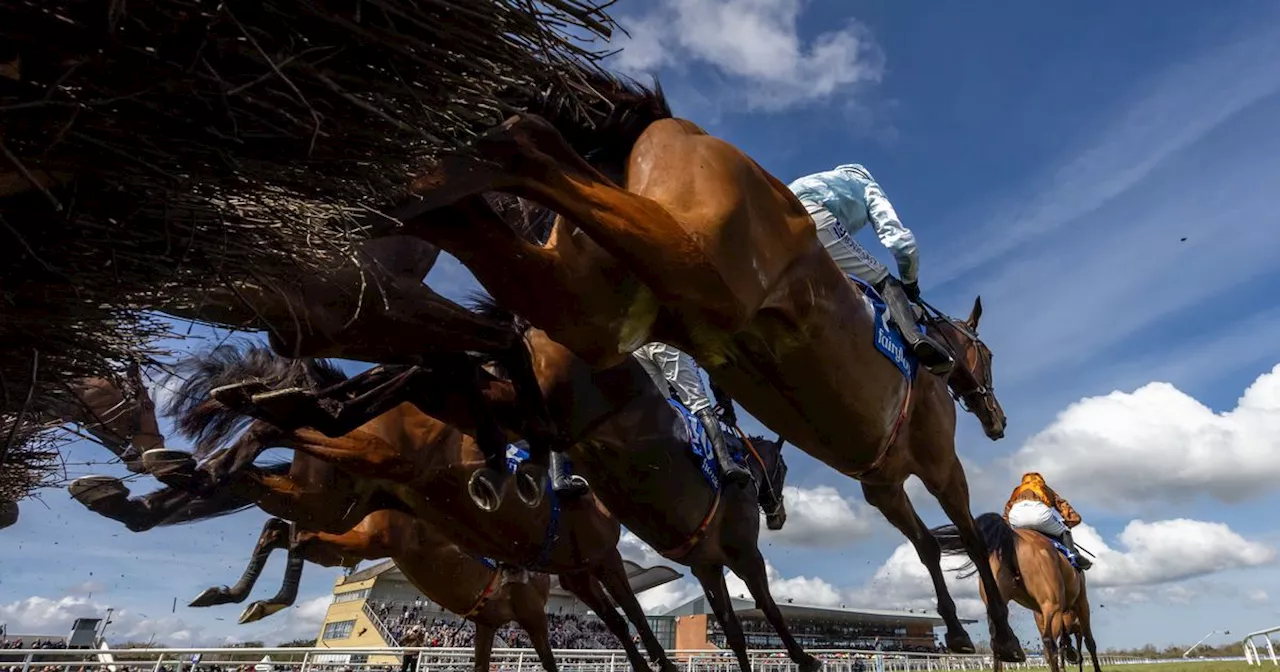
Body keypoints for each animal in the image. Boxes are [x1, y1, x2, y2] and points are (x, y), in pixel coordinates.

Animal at [167, 348, 680, 672]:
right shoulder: (582, 574)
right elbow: (627, 616)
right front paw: (658, 661)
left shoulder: (545, 589)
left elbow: (617, 619)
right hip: (370, 477)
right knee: (301, 448)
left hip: (335, 503)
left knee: (282, 515)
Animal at [378, 70, 1018, 655]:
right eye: (986, 356)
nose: (998, 420)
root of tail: (669, 126)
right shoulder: (936, 462)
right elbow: (964, 533)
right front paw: (1001, 637)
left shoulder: (880, 484)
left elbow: (928, 544)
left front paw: (959, 630)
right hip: (696, 262)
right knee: (527, 142)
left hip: (595, 303)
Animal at [931, 512, 1100, 670]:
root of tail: (1012, 538)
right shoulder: (1081, 602)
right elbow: (1090, 642)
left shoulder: (1039, 612)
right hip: (1052, 604)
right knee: (1049, 642)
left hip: (997, 600)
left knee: (998, 642)